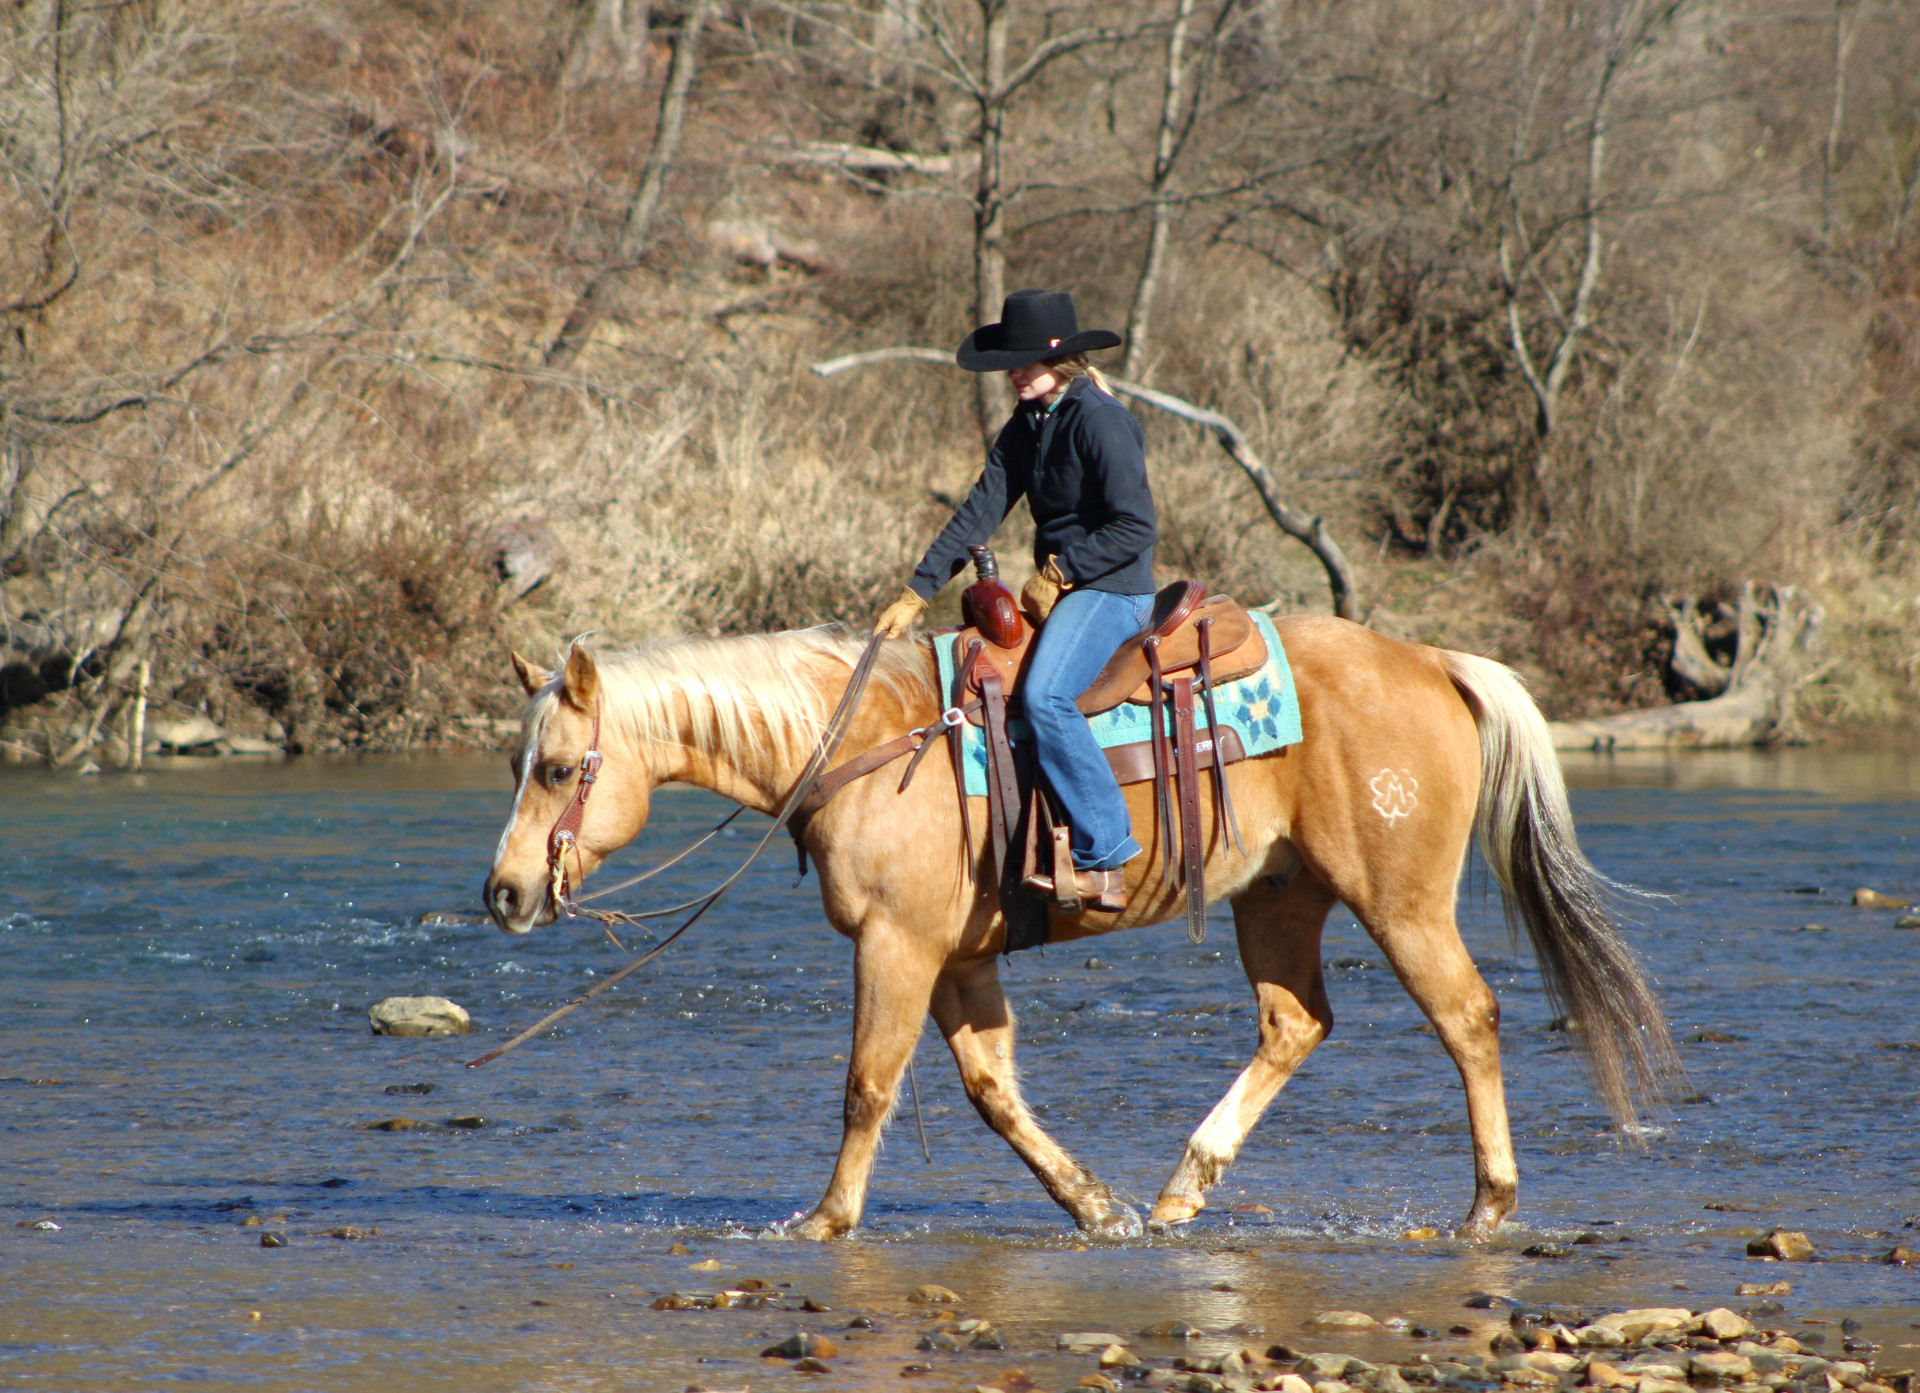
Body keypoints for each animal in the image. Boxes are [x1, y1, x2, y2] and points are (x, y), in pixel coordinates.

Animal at [487, 621, 1674, 1243]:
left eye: (560, 767)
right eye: (514, 763)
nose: (503, 892)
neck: (871, 745)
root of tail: (1433, 661)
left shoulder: (898, 946)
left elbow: (869, 1085)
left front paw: (826, 1218)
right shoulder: (960, 958)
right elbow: (992, 1091)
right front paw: (1097, 1206)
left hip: (1402, 901)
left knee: (1468, 1018)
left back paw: (1487, 1205)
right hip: (1277, 896)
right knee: (1295, 1022)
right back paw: (1183, 1187)